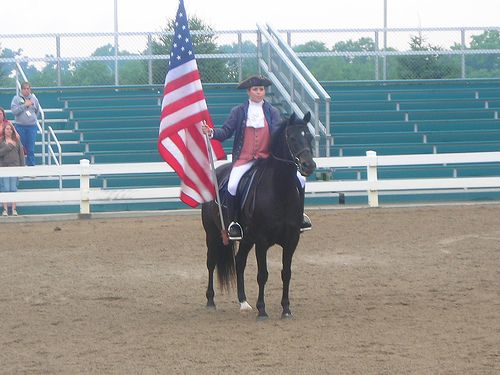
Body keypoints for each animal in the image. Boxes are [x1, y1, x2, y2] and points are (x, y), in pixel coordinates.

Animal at [200, 111, 314, 320]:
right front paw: (262, 310)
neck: (280, 189)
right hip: (212, 235)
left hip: (246, 240)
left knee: (239, 262)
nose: (308, 165)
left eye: (309, 136)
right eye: (292, 138)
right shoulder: (262, 241)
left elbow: (286, 273)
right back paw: (211, 300)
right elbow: (263, 274)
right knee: (211, 263)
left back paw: (243, 302)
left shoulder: (291, 240)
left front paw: (286, 309)